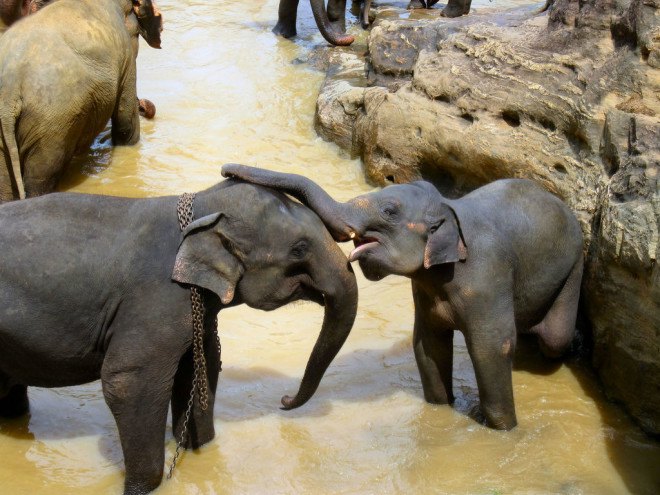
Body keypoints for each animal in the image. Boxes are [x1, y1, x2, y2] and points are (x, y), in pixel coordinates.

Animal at [0, 0, 162, 202]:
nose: (146, 107)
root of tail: (9, 90)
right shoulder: (126, 55)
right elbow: (126, 126)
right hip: (51, 122)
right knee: (39, 178)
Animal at [0, 179, 358, 494]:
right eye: (299, 249)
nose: (284, 400)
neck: (202, 203)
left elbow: (202, 367)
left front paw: (200, 449)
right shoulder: (155, 300)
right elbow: (127, 383)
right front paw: (141, 489)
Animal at [222, 164, 584, 431]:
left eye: (389, 210)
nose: (227, 171)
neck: (449, 207)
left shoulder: (486, 276)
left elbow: (492, 346)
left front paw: (499, 427)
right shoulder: (424, 289)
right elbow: (428, 342)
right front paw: (443, 406)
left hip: (574, 267)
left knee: (555, 337)